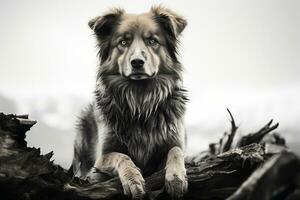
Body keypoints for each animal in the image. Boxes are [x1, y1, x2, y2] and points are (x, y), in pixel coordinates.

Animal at [72, 5, 189, 199]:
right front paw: (133, 180)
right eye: (123, 42)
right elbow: (122, 157)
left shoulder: (175, 143)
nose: (137, 62)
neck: (140, 99)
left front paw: (176, 178)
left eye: (152, 41)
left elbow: (176, 152)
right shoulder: (102, 157)